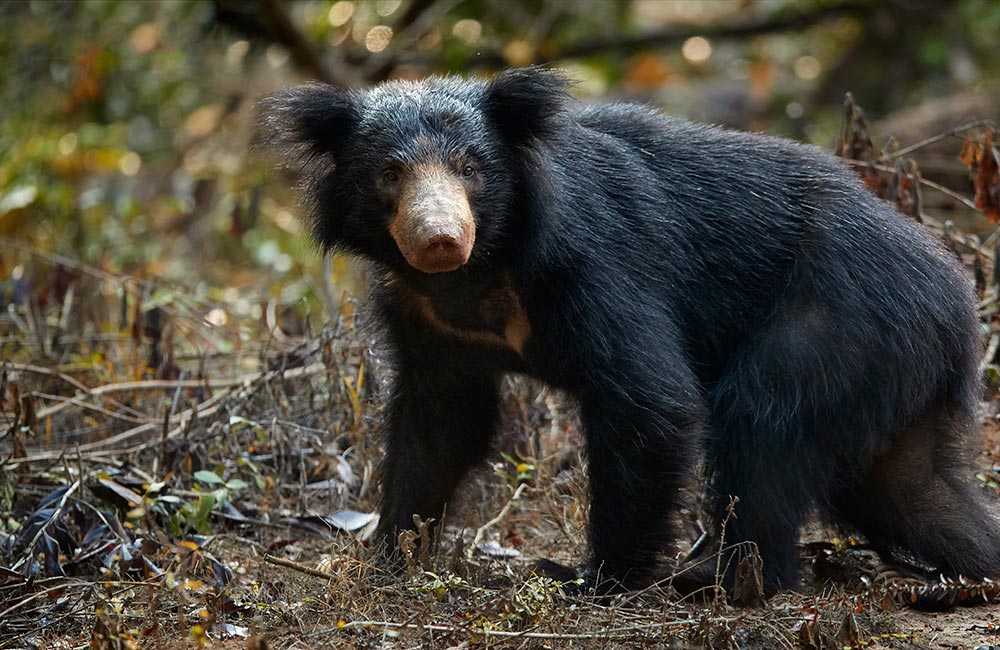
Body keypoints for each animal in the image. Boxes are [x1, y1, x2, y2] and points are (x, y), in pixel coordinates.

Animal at [260, 67, 1000, 592]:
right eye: (391, 174)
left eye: (470, 169)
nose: (439, 238)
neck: (482, 270)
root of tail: (956, 301)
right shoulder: (430, 321)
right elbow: (438, 427)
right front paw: (389, 558)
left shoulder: (596, 266)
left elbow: (649, 402)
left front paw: (591, 580)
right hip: (883, 373)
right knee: (911, 490)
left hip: (830, 326)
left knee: (761, 427)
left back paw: (726, 579)